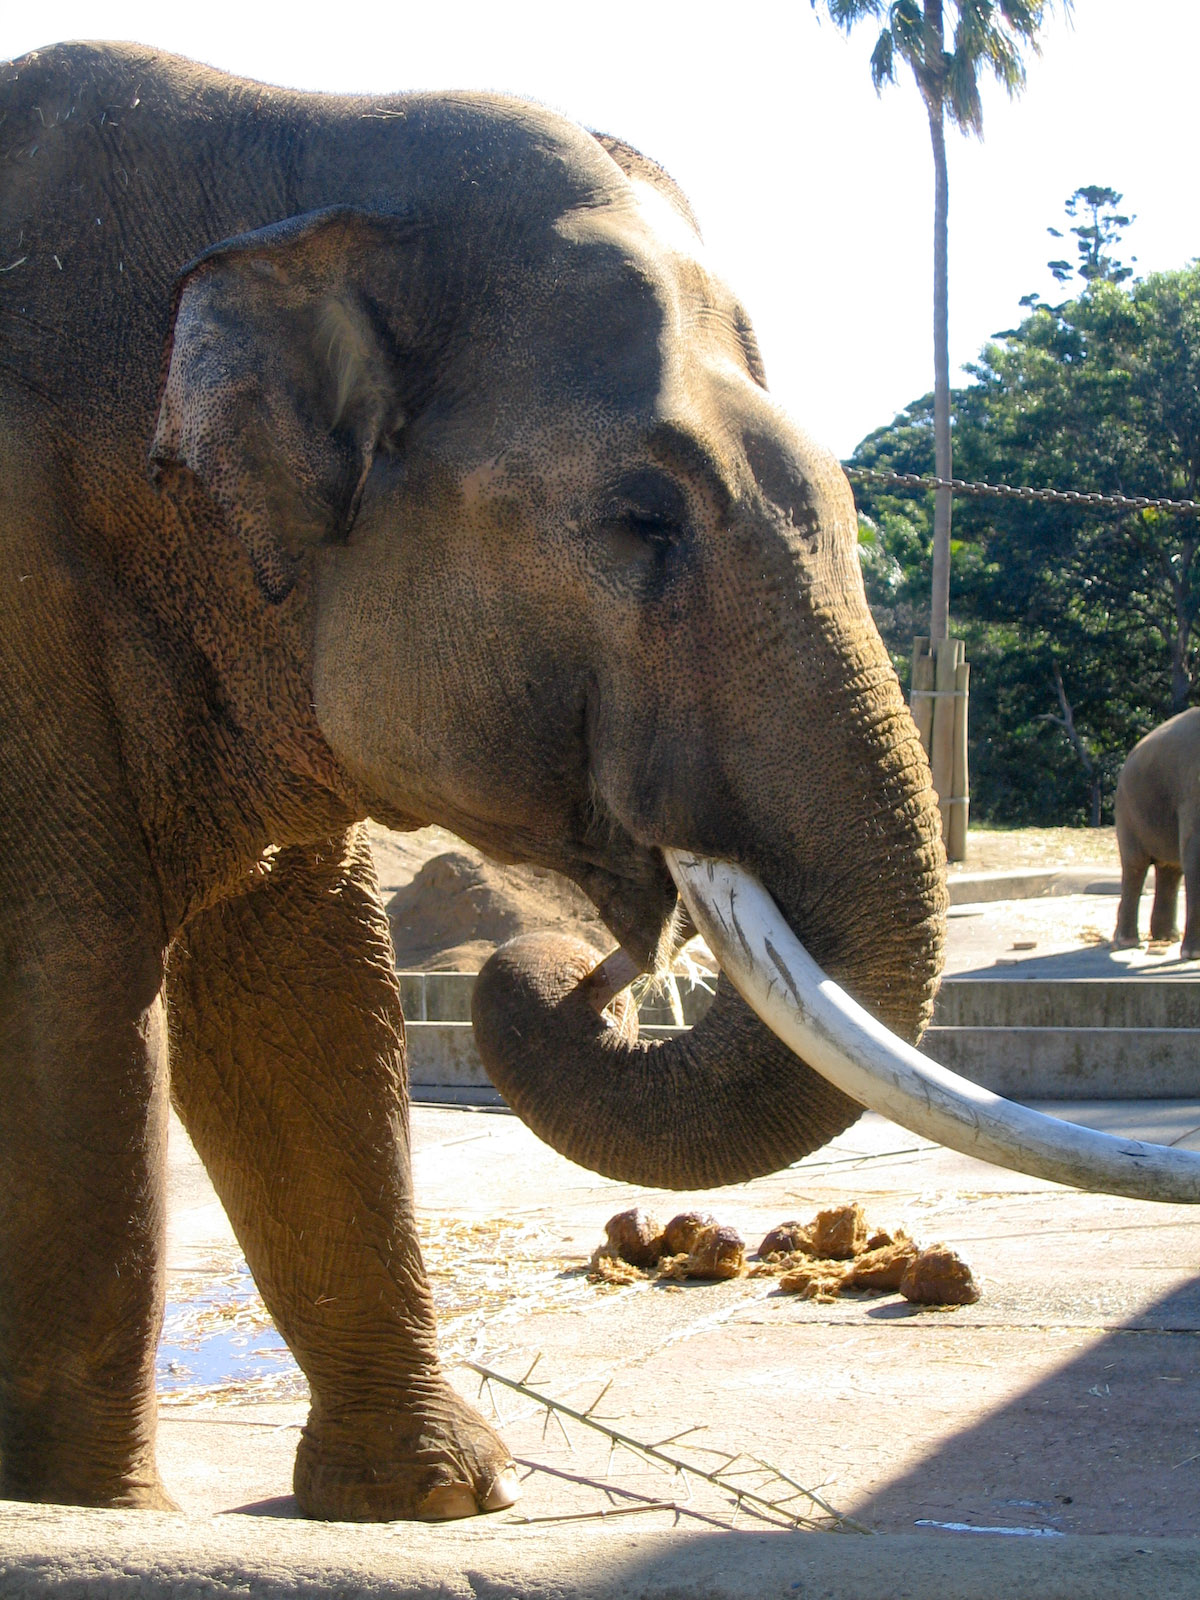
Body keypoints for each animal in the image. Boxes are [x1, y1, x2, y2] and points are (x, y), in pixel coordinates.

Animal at [1114, 708, 1200, 958]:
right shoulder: (1193, 791)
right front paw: (1193, 955)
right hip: (1128, 810)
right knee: (1135, 865)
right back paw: (1127, 942)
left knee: (1170, 868)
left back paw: (1166, 937)